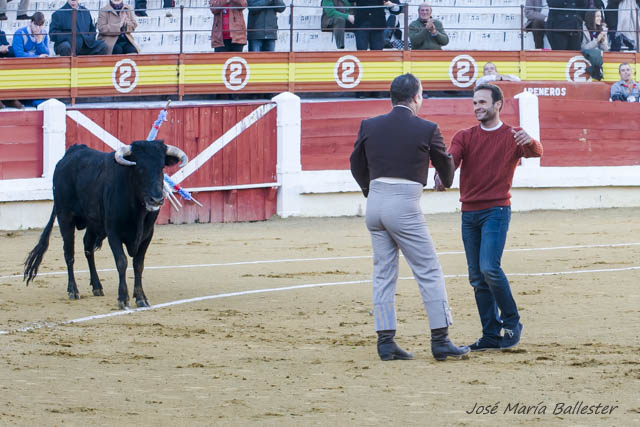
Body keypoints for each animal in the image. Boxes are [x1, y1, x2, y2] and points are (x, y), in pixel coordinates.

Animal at [23, 140, 188, 310]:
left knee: (88, 248)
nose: (156, 200)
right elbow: (122, 262)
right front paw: (123, 298)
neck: (138, 211)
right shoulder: (113, 233)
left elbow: (138, 264)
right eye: (139, 168)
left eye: (161, 167)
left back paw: (97, 286)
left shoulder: (147, 234)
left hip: (92, 223)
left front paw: (141, 297)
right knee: (69, 253)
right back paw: (73, 290)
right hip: (65, 217)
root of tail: (72, 152)